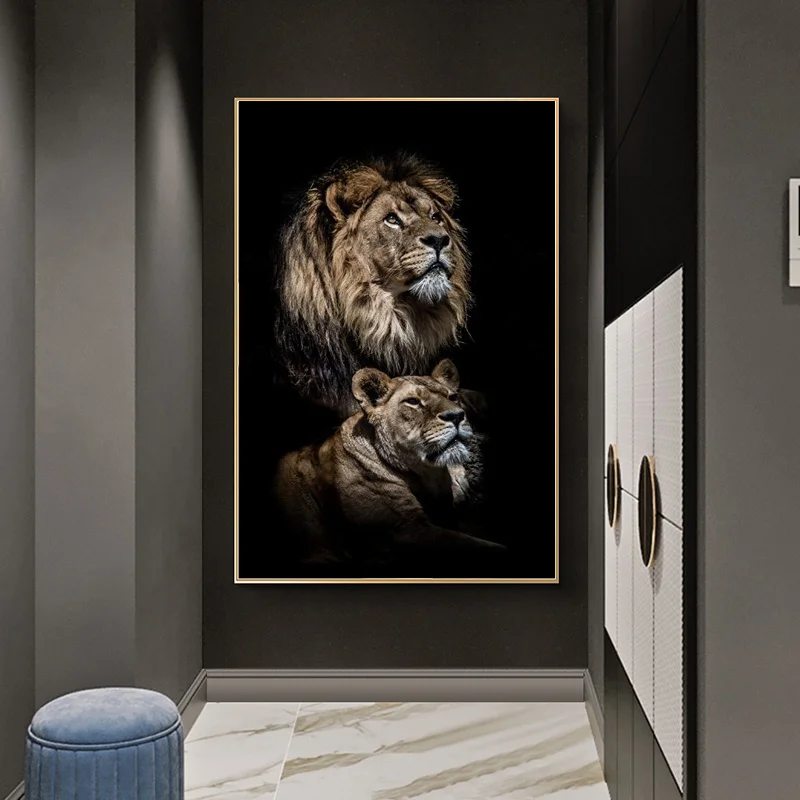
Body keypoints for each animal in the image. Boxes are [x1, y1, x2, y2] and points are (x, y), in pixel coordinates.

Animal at [273, 359, 503, 568]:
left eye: (453, 397)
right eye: (413, 401)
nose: (456, 416)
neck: (426, 475)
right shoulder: (403, 530)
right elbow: (480, 546)